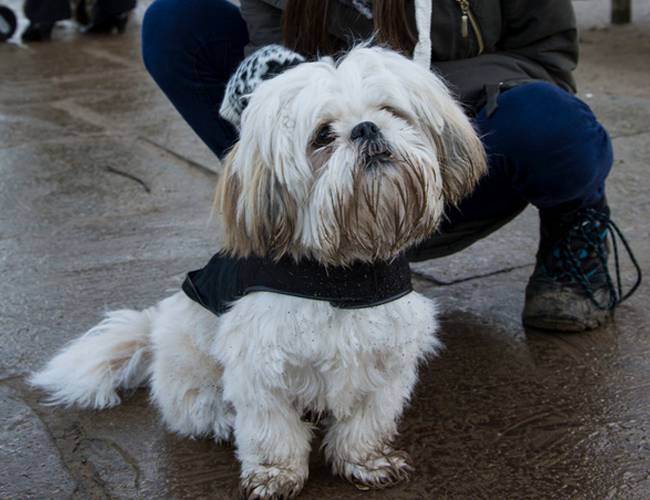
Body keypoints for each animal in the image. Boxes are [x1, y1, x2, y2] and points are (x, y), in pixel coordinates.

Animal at [31, 46, 486, 496]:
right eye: (323, 136)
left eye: (390, 110)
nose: (366, 128)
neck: (342, 274)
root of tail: (153, 330)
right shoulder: (260, 363)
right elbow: (272, 428)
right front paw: (274, 474)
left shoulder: (386, 357)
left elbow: (368, 419)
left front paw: (366, 461)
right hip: (191, 363)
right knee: (194, 406)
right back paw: (219, 418)